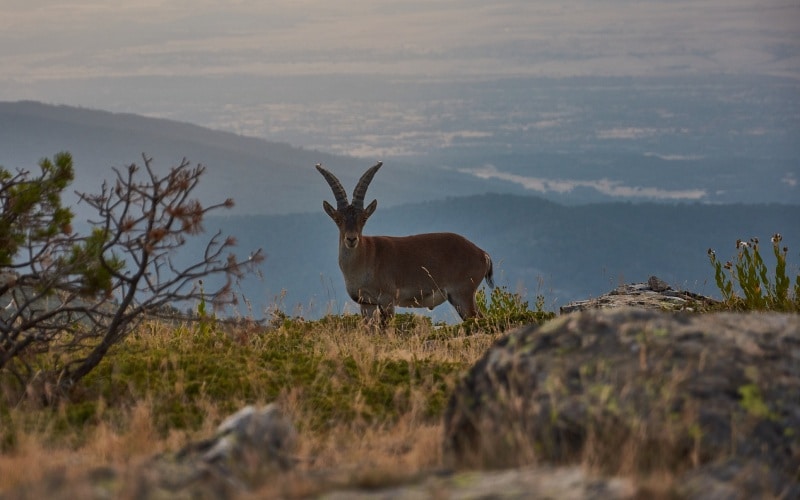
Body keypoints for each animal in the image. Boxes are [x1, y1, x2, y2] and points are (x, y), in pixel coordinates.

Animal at [316, 161, 494, 323]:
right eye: (338, 219)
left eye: (364, 218)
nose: (351, 239)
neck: (366, 257)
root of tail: (482, 254)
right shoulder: (366, 303)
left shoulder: (387, 299)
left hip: (462, 295)